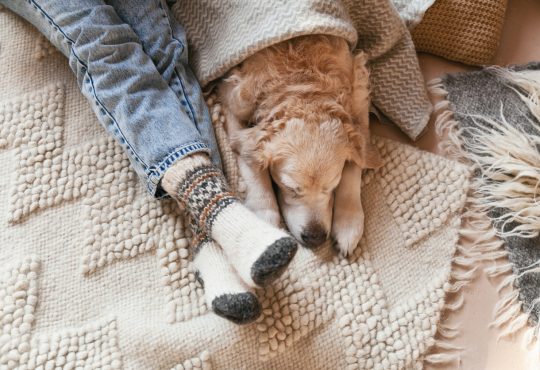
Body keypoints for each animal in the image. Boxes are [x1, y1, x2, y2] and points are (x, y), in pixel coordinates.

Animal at [217, 34, 382, 256]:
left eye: (331, 186)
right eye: (290, 188)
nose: (315, 238)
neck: (303, 86)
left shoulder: (358, 90)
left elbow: (356, 162)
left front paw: (348, 222)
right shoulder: (233, 98)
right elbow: (251, 162)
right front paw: (264, 213)